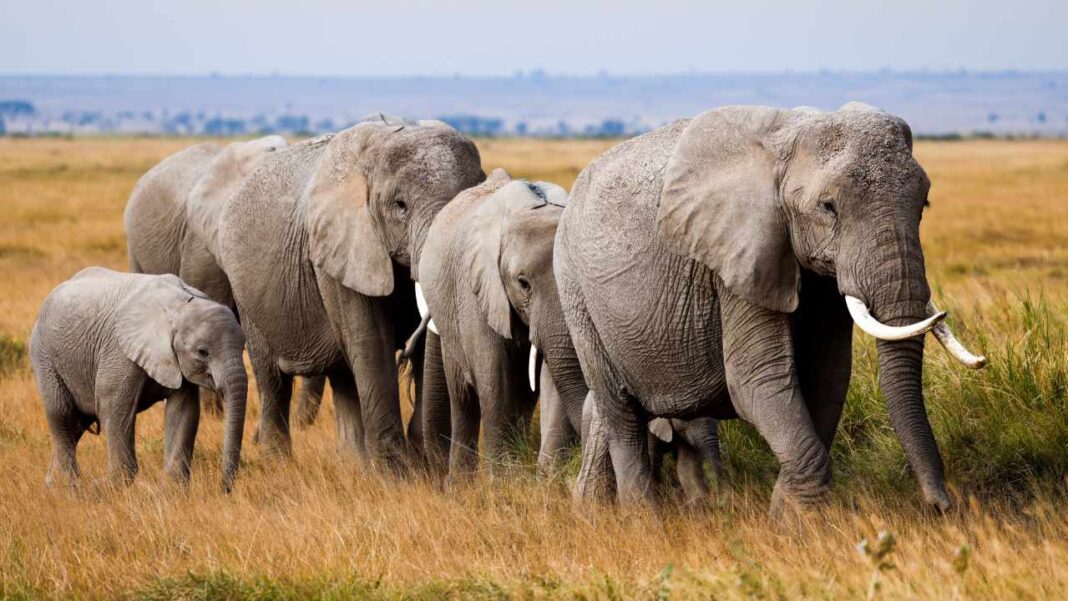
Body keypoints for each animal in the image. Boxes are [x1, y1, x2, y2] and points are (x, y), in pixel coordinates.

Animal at [30, 267, 248, 491]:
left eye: (243, 346)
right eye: (202, 352)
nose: (223, 489)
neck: (179, 306)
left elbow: (184, 410)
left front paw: (173, 490)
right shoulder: (119, 351)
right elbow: (113, 407)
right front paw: (104, 487)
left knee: (76, 424)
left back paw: (52, 486)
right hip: (44, 355)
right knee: (61, 414)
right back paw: (69, 488)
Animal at [217, 115, 484, 472]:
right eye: (400, 206)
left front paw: (419, 466)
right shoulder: (338, 249)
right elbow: (370, 341)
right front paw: (399, 475)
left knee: (343, 375)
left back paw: (353, 464)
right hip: (246, 293)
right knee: (272, 378)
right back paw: (279, 464)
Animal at [556, 104, 986, 512]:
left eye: (924, 204)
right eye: (828, 207)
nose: (941, 506)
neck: (790, 138)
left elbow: (827, 375)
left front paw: (790, 512)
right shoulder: (737, 258)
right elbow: (757, 378)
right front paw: (792, 520)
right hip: (575, 289)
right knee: (621, 412)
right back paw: (642, 519)